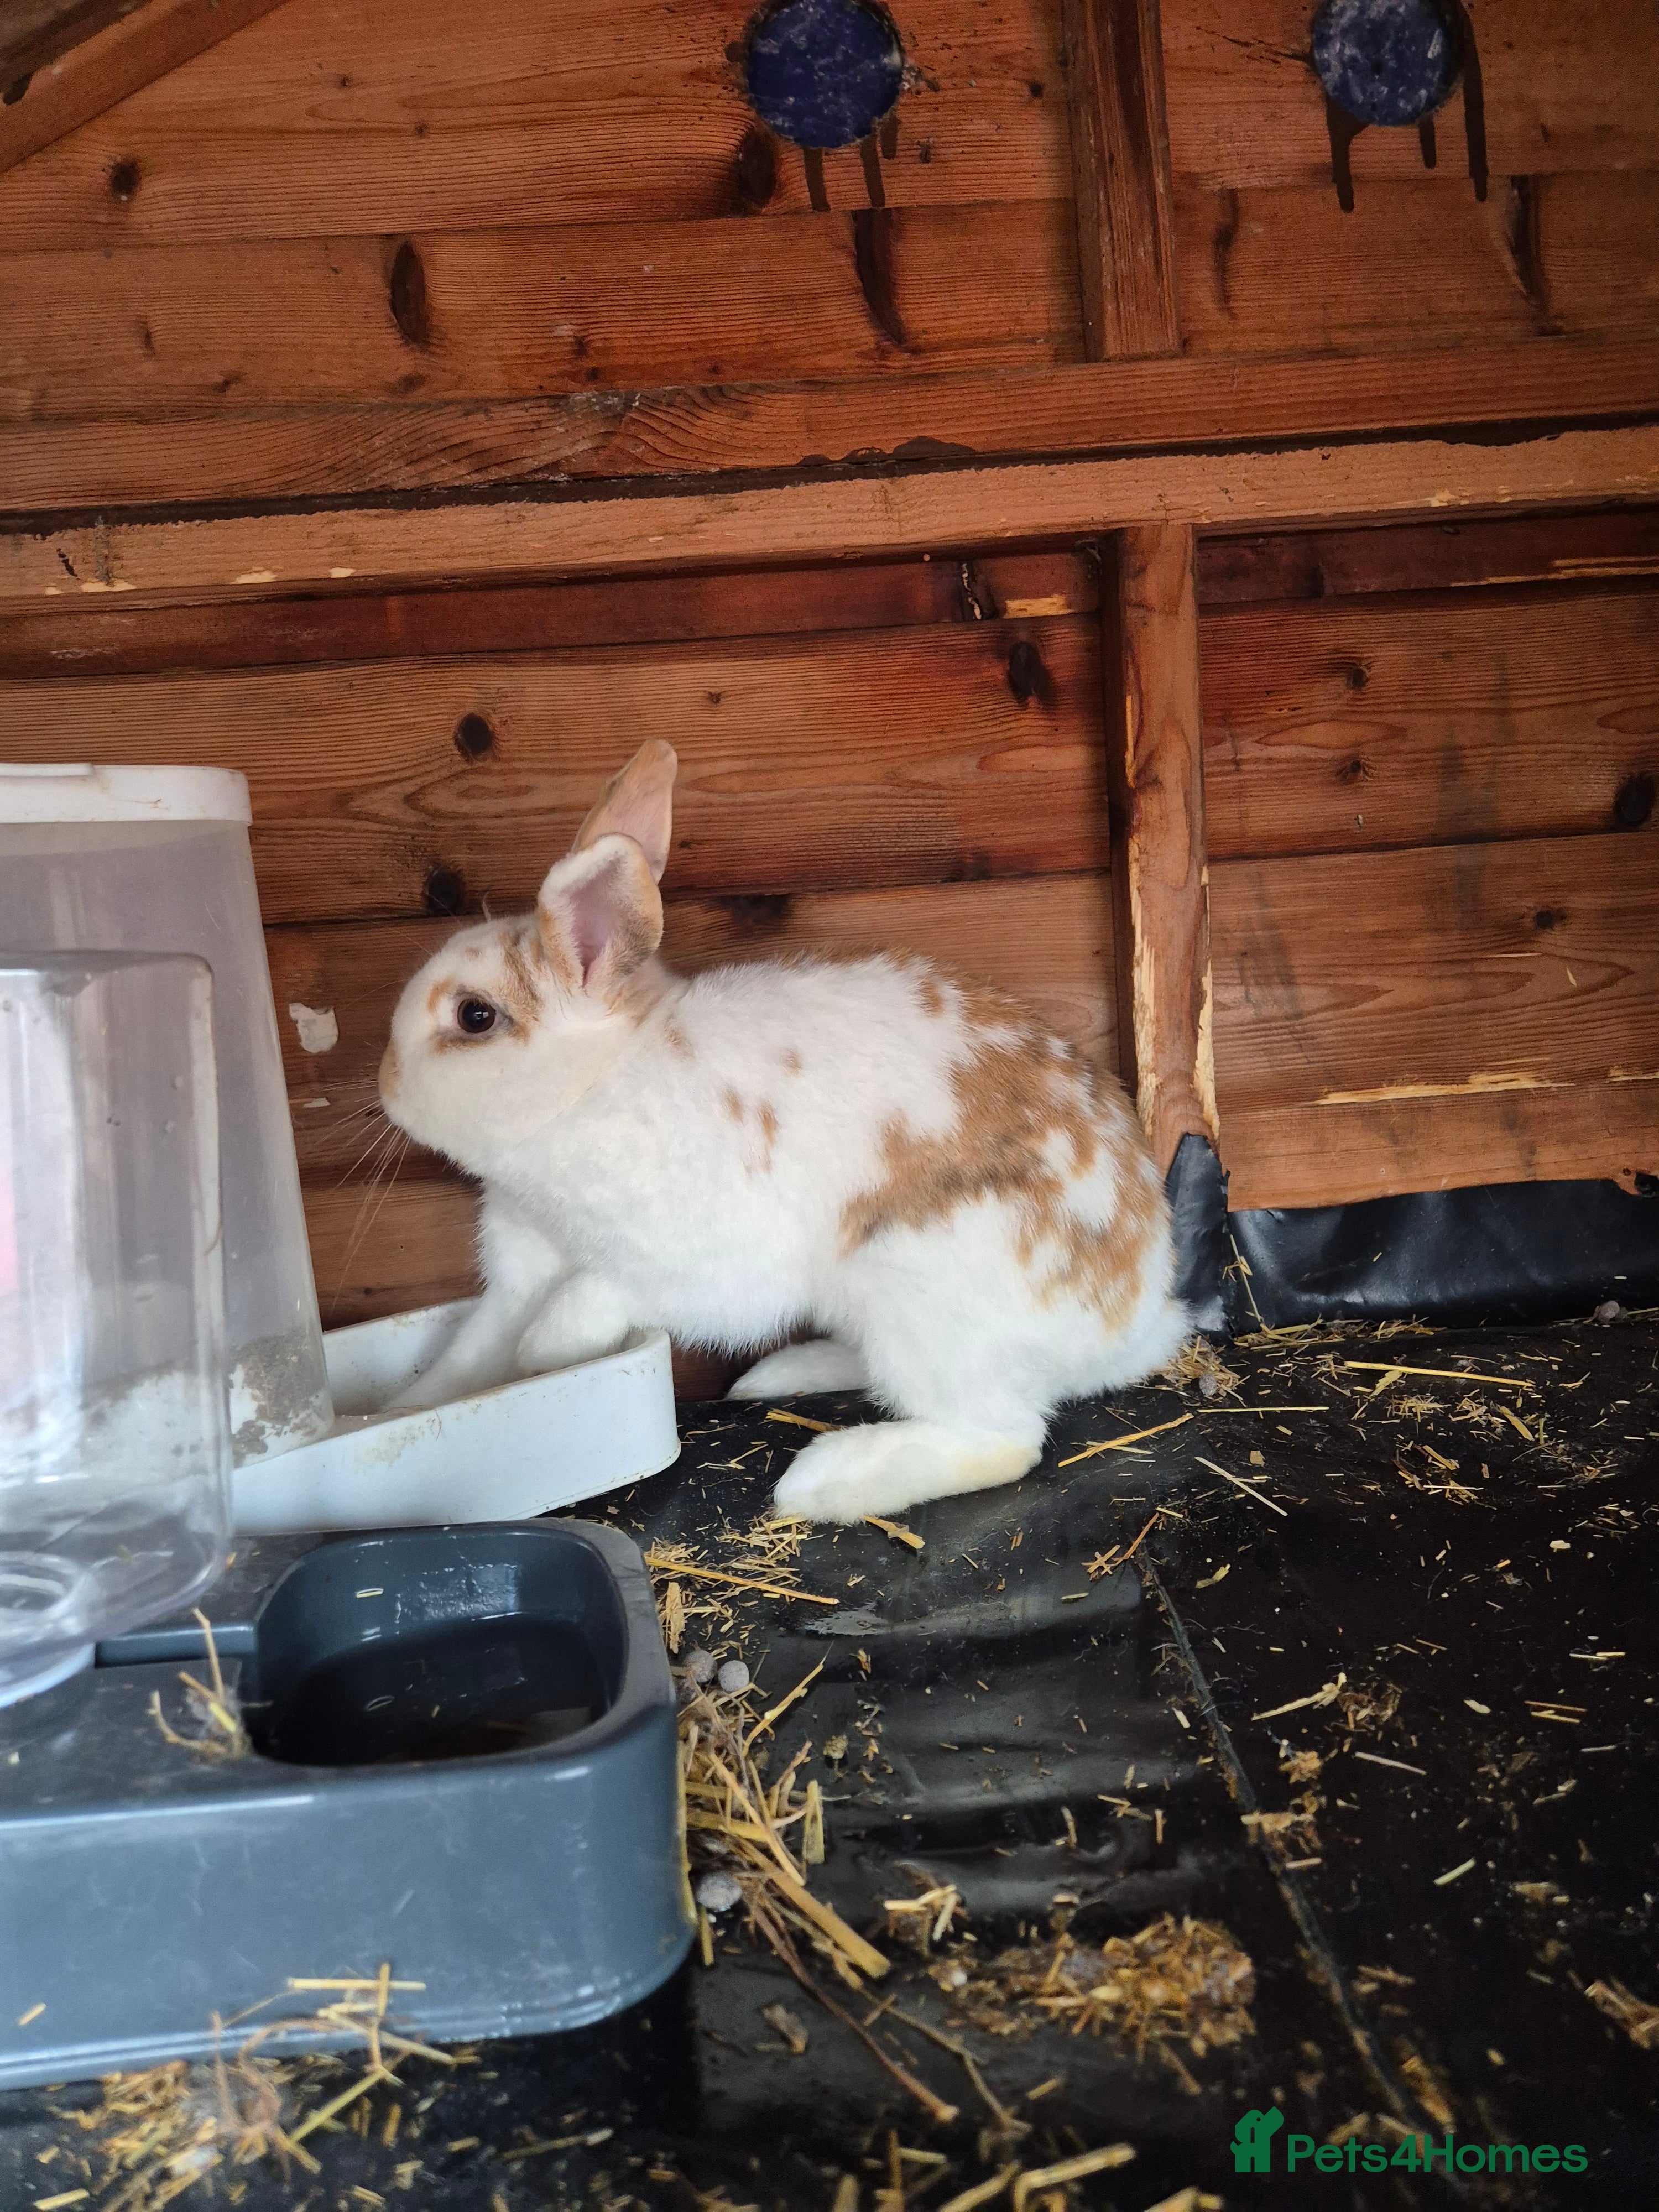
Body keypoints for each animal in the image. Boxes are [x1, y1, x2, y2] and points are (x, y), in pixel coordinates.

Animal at [378, 739, 1191, 1522]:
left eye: (474, 1017)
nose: (385, 1083)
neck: (594, 1086)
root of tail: (1143, 1320)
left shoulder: (697, 1263)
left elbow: (592, 1296)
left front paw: (546, 1352)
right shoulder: (519, 1270)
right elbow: (468, 1358)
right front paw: (413, 1405)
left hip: (926, 1298)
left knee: (1001, 1438)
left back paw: (823, 1481)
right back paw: (781, 1376)